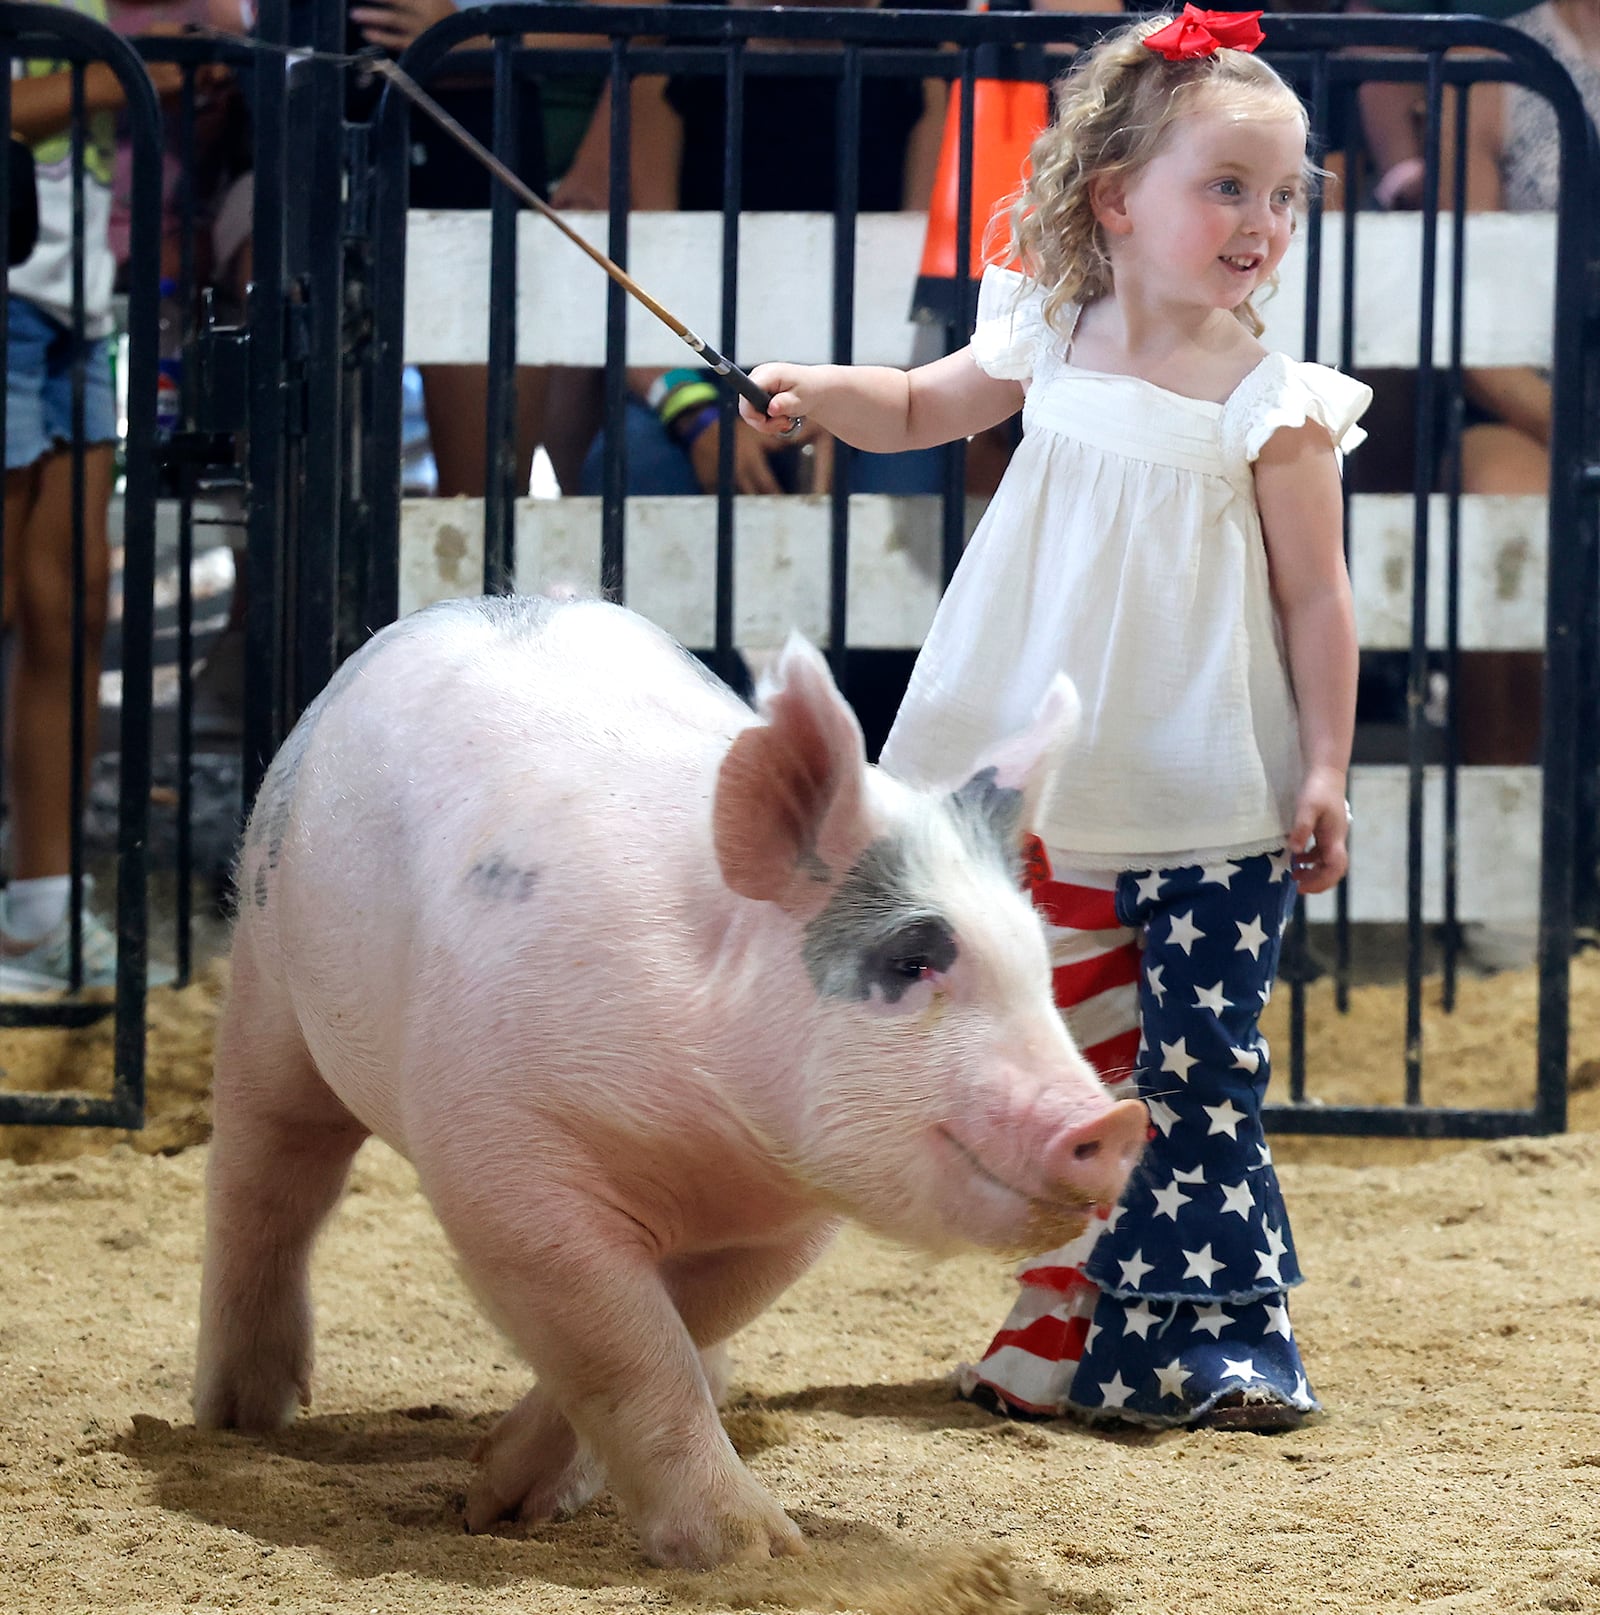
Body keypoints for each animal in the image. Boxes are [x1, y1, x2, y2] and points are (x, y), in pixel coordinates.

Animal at [193, 594, 1143, 1563]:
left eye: (1040, 965)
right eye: (911, 959)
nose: (1115, 1121)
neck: (698, 1131)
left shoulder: (786, 1222)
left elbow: (684, 1322)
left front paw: (512, 1490)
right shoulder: (504, 1165)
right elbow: (628, 1343)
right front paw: (757, 1550)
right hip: (269, 981)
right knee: (270, 1177)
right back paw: (239, 1416)